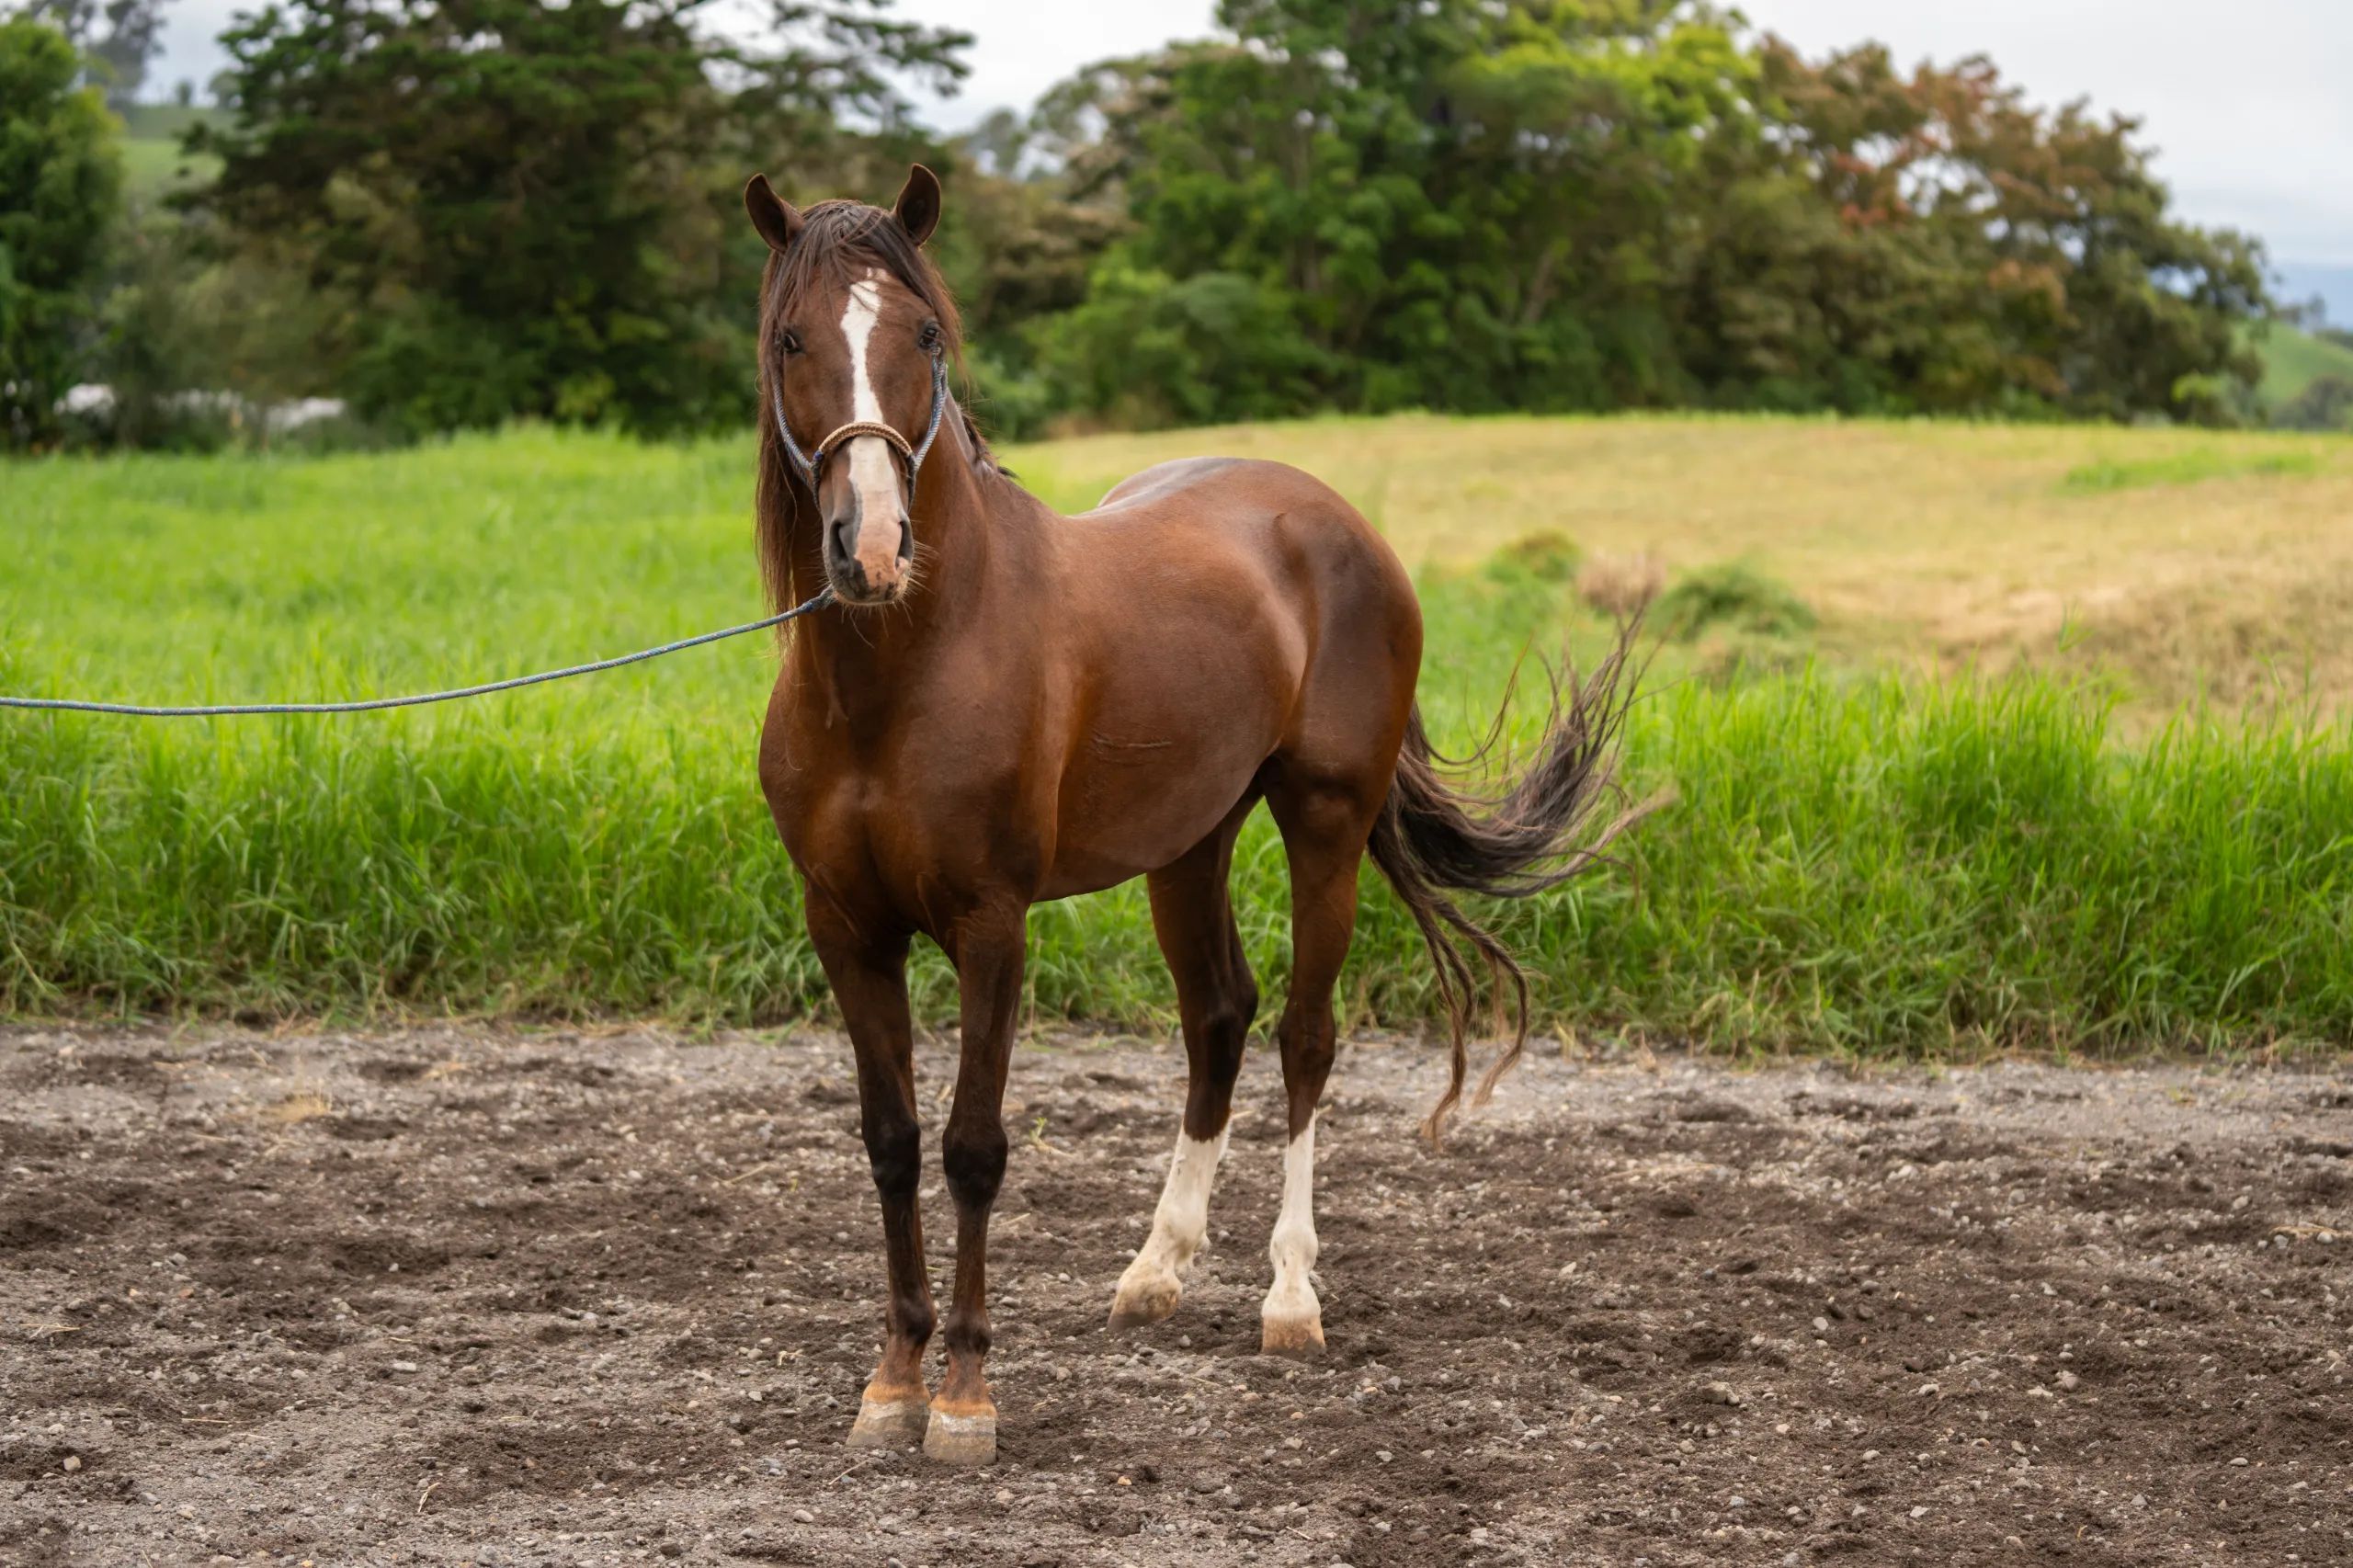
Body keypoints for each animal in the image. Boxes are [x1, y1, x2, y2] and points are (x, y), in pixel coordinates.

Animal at [744, 164, 1648, 1467]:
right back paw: (1155, 1269)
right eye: (791, 338)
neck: (903, 669)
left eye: (924, 336)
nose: (871, 545)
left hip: (1324, 825)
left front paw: (964, 1395)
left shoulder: (989, 922)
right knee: (1217, 1019)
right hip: (1187, 845)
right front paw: (891, 1380)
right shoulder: (846, 928)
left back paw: (1290, 1296)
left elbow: (973, 1147)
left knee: (1306, 1037)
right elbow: (892, 1142)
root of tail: (1333, 518)